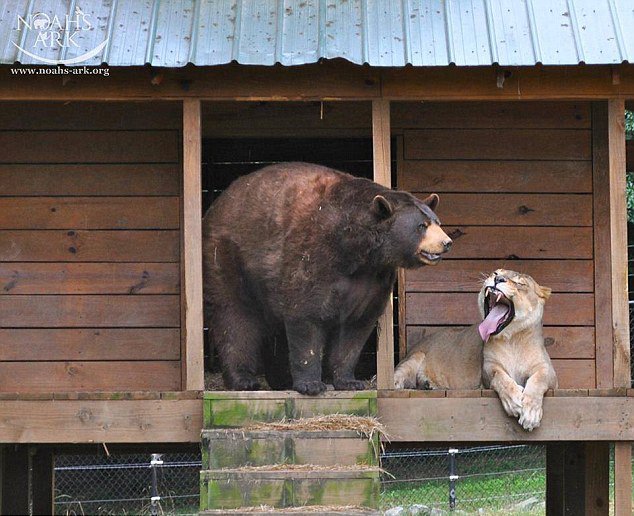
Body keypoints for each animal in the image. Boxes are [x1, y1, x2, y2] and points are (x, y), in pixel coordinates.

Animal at [202, 162, 450, 396]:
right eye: (421, 225)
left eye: (437, 221)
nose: (446, 242)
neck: (356, 251)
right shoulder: (313, 254)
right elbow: (306, 315)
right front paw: (311, 384)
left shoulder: (373, 279)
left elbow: (355, 327)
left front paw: (349, 381)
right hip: (227, 258)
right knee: (234, 317)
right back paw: (243, 379)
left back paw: (281, 378)